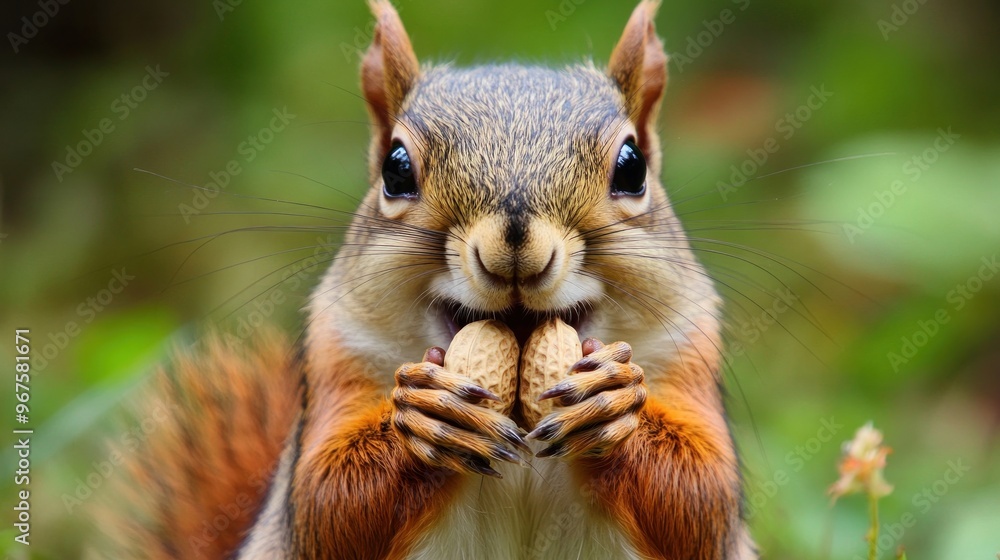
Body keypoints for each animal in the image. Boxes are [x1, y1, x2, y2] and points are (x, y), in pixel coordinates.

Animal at [104, 1, 758, 558]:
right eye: (395, 169)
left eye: (632, 167)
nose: (513, 247)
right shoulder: (336, 355)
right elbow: (327, 503)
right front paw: (427, 416)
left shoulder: (689, 353)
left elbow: (699, 498)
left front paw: (614, 403)